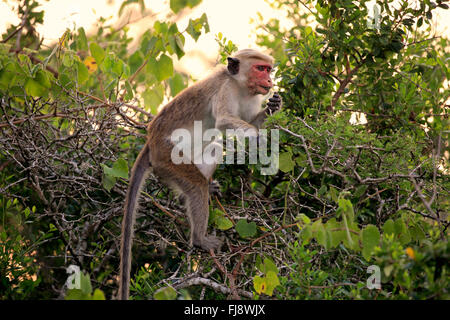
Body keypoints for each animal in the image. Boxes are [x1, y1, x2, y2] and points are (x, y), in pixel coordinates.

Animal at [118, 48, 282, 298]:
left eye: (268, 69)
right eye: (260, 69)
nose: (269, 81)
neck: (240, 85)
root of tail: (151, 141)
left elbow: (250, 121)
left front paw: (273, 106)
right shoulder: (225, 89)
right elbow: (224, 121)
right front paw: (258, 137)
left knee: (213, 147)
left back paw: (196, 191)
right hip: (168, 158)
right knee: (195, 185)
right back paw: (199, 239)